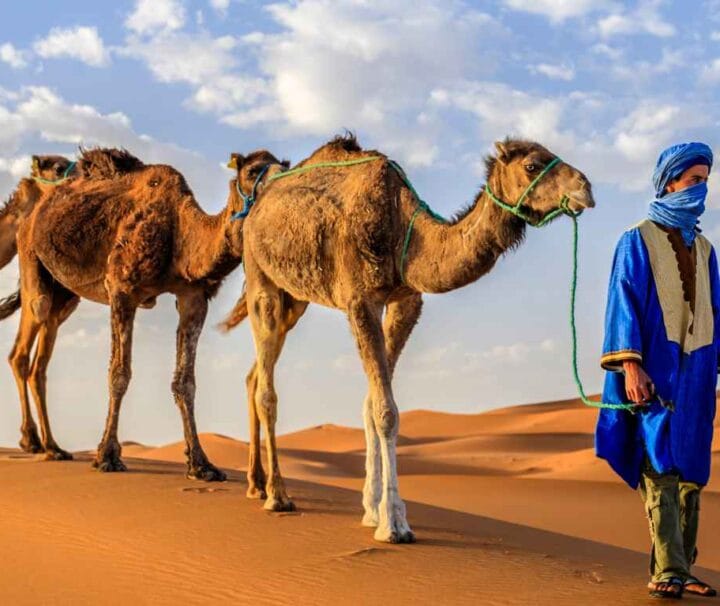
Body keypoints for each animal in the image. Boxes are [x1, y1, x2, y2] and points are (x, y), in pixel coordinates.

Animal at [0, 148, 288, 479]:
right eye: (252, 171)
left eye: (286, 165)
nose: (281, 185)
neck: (180, 233)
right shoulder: (122, 289)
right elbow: (119, 373)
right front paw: (108, 456)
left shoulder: (193, 297)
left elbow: (185, 381)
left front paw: (201, 463)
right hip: (31, 257)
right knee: (28, 335)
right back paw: (32, 441)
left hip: (66, 293)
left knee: (42, 356)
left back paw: (52, 447)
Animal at [221, 134, 595, 542]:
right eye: (531, 165)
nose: (585, 188)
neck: (404, 229)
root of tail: (256, 207)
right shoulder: (361, 300)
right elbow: (386, 411)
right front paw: (394, 523)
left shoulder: (405, 301)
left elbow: (371, 405)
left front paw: (372, 509)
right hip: (262, 278)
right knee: (266, 390)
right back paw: (277, 494)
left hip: (297, 297)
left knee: (254, 374)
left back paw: (258, 485)